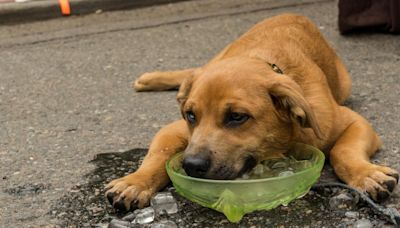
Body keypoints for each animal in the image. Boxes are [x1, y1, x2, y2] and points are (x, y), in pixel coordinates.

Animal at [104, 13, 398, 210]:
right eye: (190, 116)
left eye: (237, 117)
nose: (191, 166)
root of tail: (293, 14)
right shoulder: (172, 130)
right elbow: (156, 156)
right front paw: (135, 182)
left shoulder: (353, 123)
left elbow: (343, 151)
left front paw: (366, 174)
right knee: (193, 71)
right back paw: (151, 79)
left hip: (345, 83)